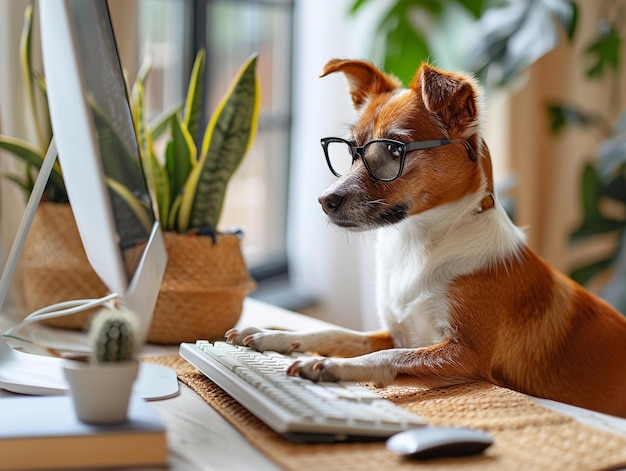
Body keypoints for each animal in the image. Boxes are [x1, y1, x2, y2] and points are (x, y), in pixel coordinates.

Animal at [227, 60, 624, 418]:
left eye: (393, 149)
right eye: (351, 149)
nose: (325, 201)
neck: (417, 243)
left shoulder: (465, 354)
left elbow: (384, 356)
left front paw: (332, 368)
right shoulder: (397, 332)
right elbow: (334, 333)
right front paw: (272, 335)